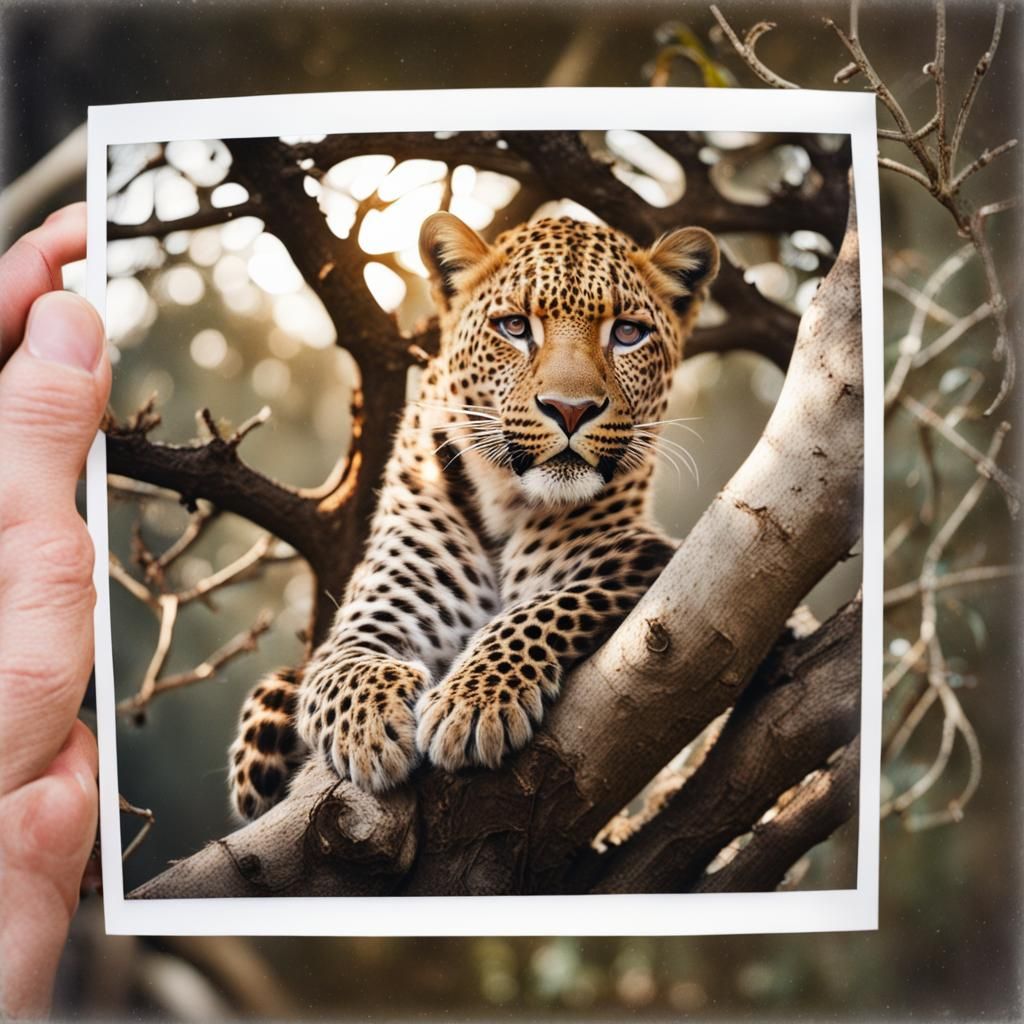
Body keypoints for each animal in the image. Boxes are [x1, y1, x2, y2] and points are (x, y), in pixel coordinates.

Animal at [228, 211, 719, 820]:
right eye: (514, 326)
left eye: (627, 333)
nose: (570, 410)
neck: (507, 504)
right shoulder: (388, 604)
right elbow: (343, 664)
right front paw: (370, 729)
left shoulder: (649, 561)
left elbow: (539, 609)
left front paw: (472, 704)